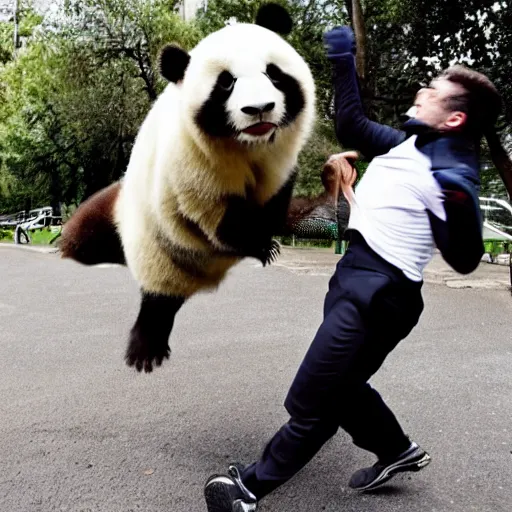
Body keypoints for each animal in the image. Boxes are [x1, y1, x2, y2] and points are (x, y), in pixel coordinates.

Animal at [60, 3, 316, 372]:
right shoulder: (191, 163)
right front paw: (259, 245)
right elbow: (215, 216)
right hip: (148, 237)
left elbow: (274, 197)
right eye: (226, 82)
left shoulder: (280, 158)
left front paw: (267, 239)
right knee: (132, 270)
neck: (247, 146)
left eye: (273, 73)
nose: (259, 110)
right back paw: (145, 347)